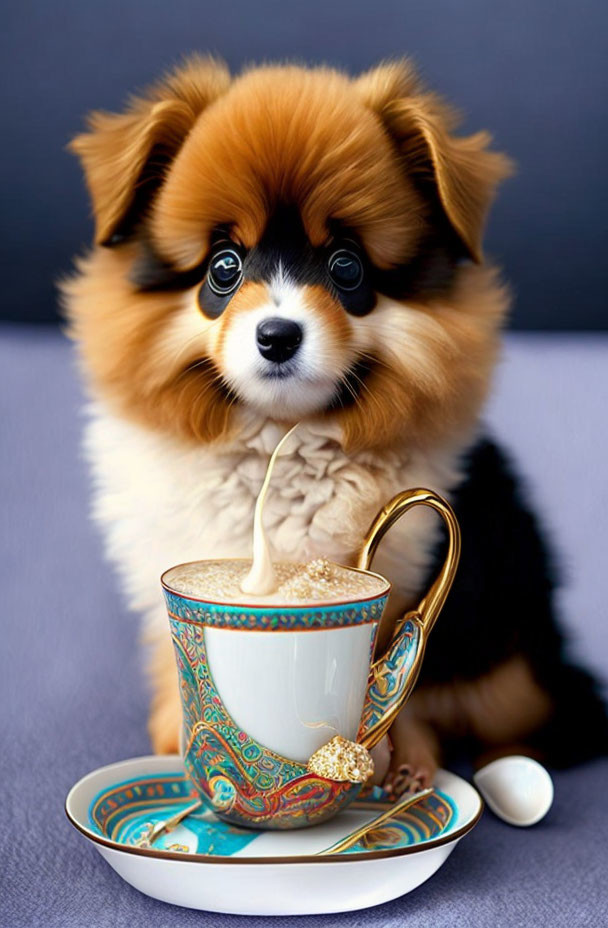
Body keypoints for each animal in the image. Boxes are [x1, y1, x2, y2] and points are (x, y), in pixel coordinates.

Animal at [63, 54, 608, 792]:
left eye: (346, 266)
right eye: (224, 267)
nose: (277, 335)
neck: (278, 439)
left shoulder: (408, 577)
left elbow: (401, 680)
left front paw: (401, 765)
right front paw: (178, 739)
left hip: (513, 652)